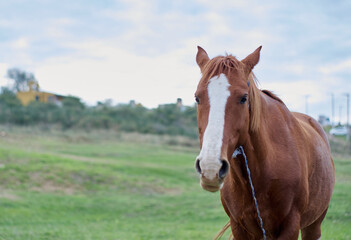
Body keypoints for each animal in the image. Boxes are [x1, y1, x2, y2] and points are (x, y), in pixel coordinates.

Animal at [195, 46, 336, 239]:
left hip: (314, 224)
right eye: (197, 98)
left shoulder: (291, 226)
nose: (210, 167)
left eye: (244, 98)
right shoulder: (239, 227)